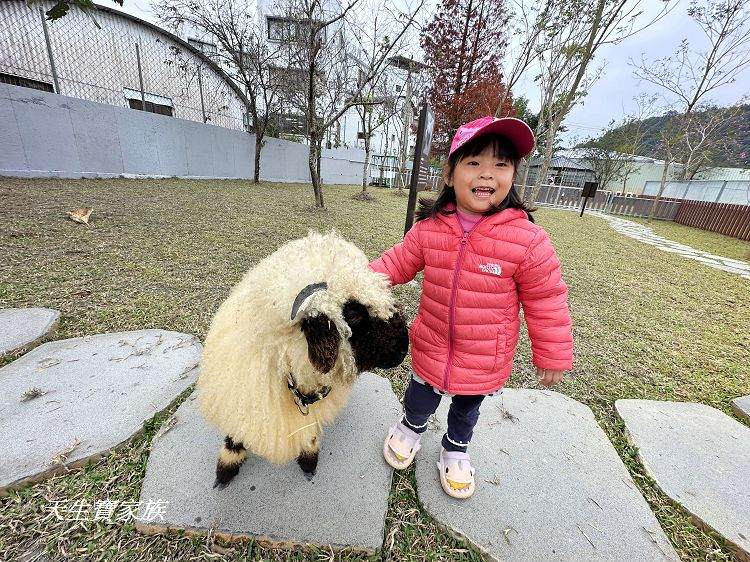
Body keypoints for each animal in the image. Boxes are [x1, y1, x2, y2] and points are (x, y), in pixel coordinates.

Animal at [198, 228, 412, 486]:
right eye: (352, 314)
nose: (404, 348)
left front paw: (309, 459)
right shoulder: (242, 399)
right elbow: (236, 432)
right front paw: (227, 465)